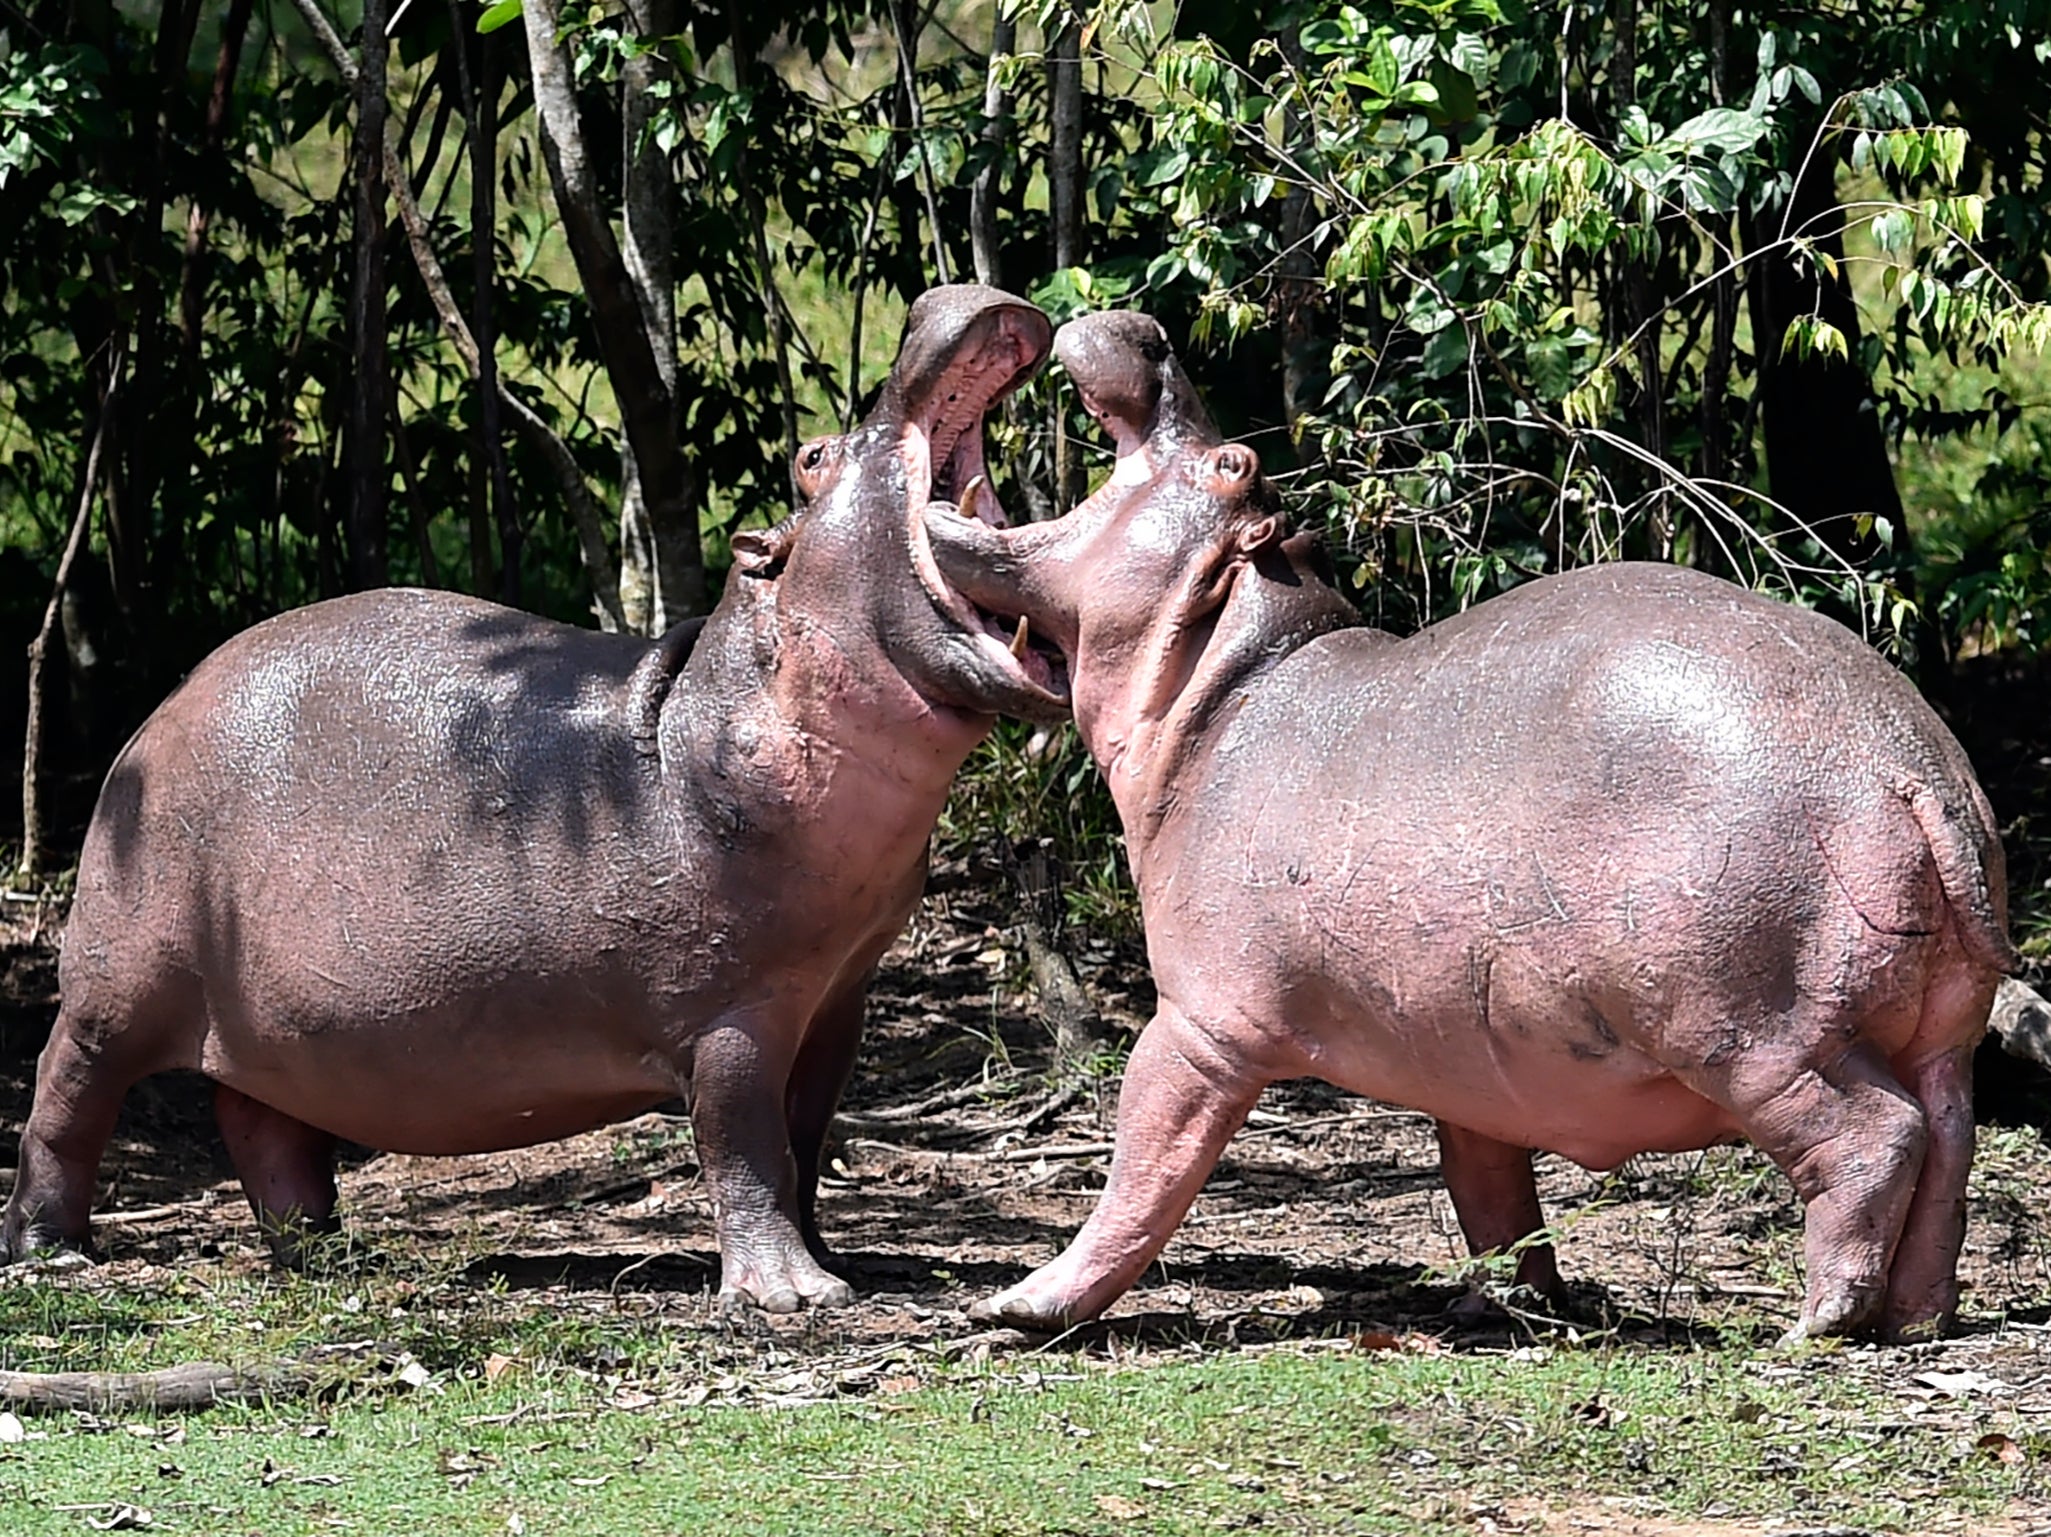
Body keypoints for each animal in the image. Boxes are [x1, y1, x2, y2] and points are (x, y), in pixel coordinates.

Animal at [2, 285, 1067, 1312]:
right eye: (811, 456)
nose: (934, 303)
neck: (731, 700)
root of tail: (167, 702)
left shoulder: (837, 999)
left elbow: (804, 1146)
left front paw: (840, 1261)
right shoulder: (730, 1011)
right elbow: (745, 1148)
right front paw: (791, 1296)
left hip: (272, 1020)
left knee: (264, 1123)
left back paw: (332, 1255)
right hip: (119, 981)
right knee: (65, 1094)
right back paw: (52, 1252)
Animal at [922, 310, 2015, 1342]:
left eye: (1227, 463)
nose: (1146, 331)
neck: (1223, 682)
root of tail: (1904, 766)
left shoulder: (1198, 1025)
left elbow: (1142, 1166)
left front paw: (1016, 1308)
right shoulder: (1465, 1061)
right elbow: (1488, 1189)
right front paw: (1512, 1308)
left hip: (1747, 1029)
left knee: (1872, 1138)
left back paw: (1817, 1321)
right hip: (1936, 1030)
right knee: (1947, 1147)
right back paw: (1917, 1317)